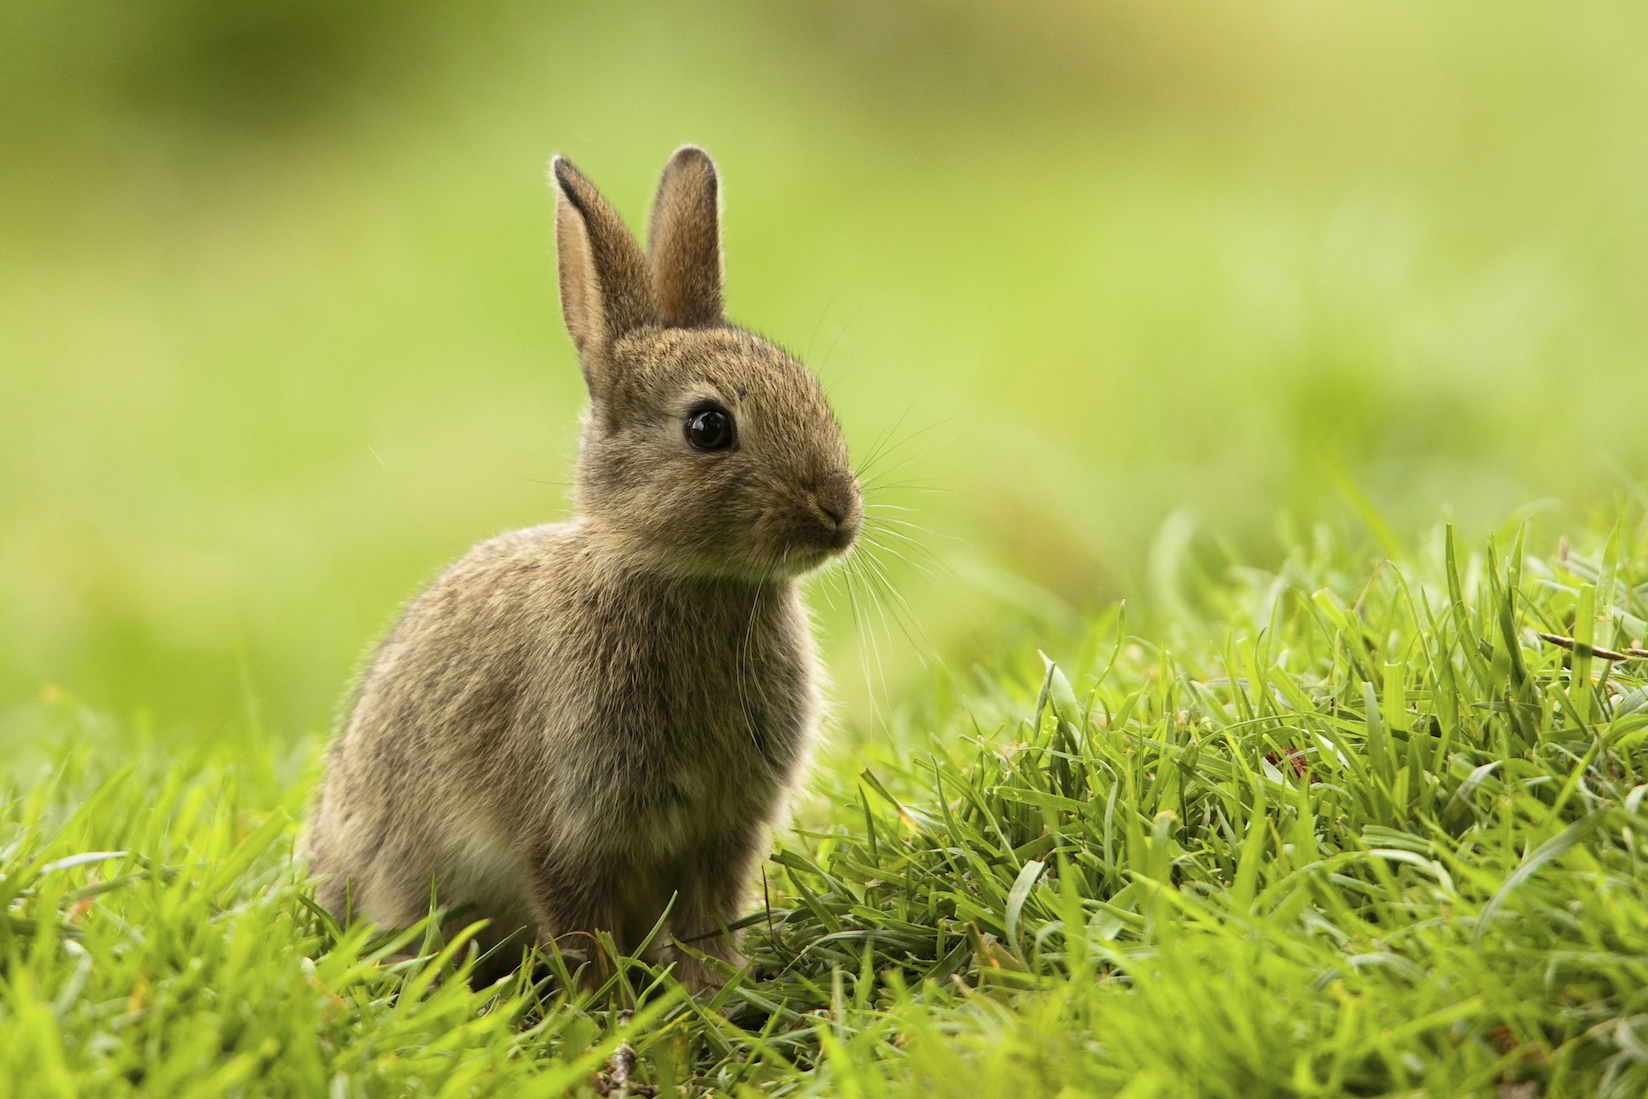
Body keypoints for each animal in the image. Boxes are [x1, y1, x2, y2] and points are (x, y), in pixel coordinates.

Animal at [304, 141, 863, 995]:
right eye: (708, 426)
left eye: (812, 392)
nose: (838, 512)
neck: (688, 579)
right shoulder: (567, 821)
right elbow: (577, 918)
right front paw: (610, 1005)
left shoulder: (723, 830)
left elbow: (709, 913)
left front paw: (716, 990)